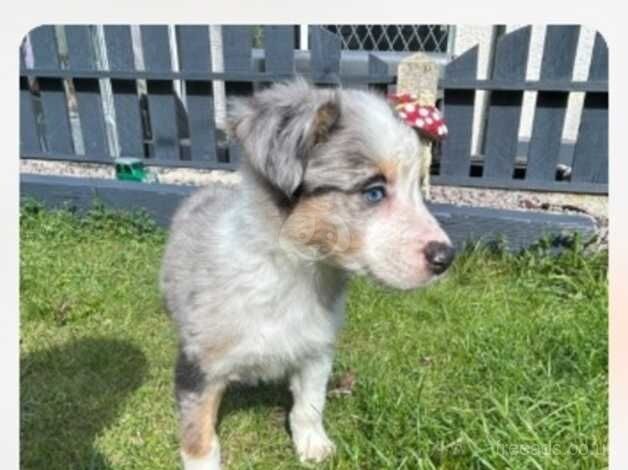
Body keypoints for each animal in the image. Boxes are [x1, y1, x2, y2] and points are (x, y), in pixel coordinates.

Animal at [161, 79, 456, 468]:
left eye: (418, 188)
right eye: (374, 192)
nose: (446, 258)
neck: (295, 273)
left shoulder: (316, 351)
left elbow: (310, 405)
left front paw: (313, 446)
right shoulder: (199, 365)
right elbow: (199, 433)